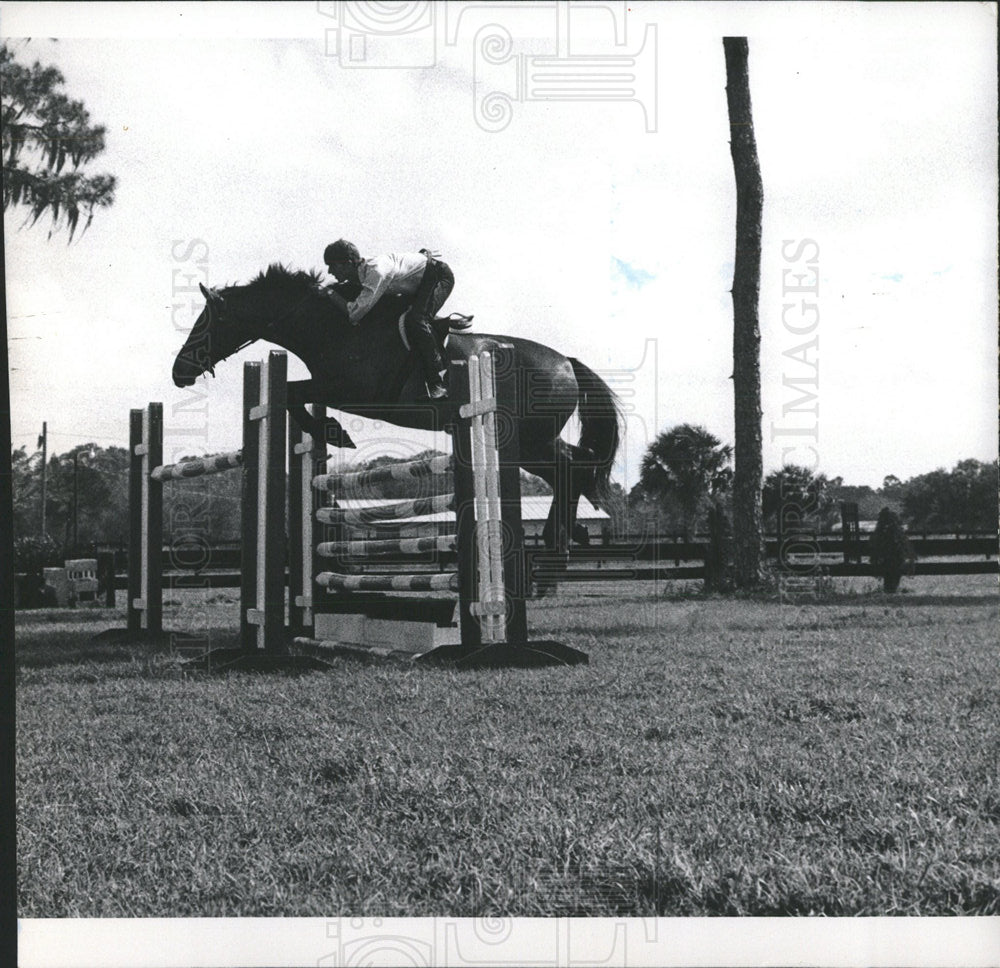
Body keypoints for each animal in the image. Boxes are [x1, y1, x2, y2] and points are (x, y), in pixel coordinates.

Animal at [176, 260, 620, 572]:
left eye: (207, 321)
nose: (179, 372)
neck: (334, 326)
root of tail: (566, 362)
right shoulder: (335, 387)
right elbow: (294, 394)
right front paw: (330, 432)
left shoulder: (353, 392)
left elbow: (292, 392)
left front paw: (334, 432)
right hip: (532, 442)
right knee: (571, 467)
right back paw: (563, 539)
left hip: (527, 440)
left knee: (570, 468)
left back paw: (559, 541)